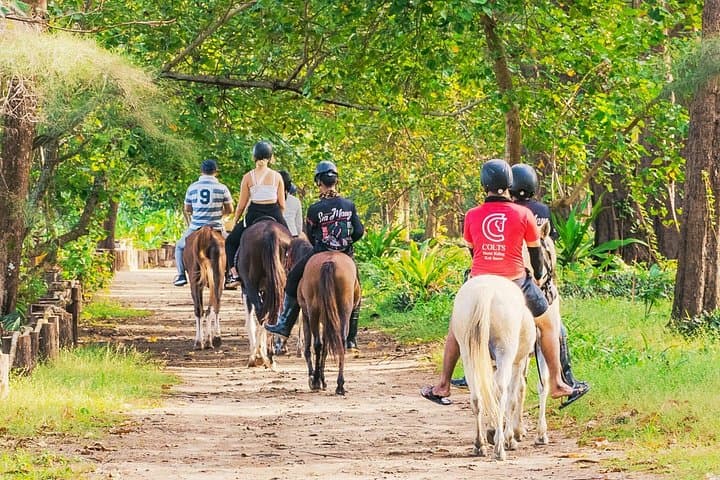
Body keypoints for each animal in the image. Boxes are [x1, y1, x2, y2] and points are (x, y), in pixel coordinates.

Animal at [234, 218, 292, 368]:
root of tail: (269, 233)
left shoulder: (246, 290)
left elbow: (250, 322)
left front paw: (256, 355)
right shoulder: (267, 290)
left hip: (251, 285)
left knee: (260, 314)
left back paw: (257, 357)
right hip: (280, 287)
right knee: (273, 316)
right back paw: (270, 356)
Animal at [296, 240, 361, 395]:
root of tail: (330, 262)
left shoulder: (306, 315)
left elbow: (309, 348)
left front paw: (315, 378)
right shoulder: (327, 320)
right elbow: (326, 347)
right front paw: (322, 379)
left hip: (313, 312)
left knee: (317, 344)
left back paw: (316, 381)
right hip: (343, 310)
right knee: (340, 342)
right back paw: (340, 385)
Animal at [450, 274, 536, 461]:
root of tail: (485, 291)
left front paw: (493, 431)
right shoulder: (518, 363)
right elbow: (514, 396)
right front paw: (510, 436)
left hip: (468, 354)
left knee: (477, 397)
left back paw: (479, 444)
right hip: (505, 351)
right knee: (502, 392)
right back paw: (499, 448)